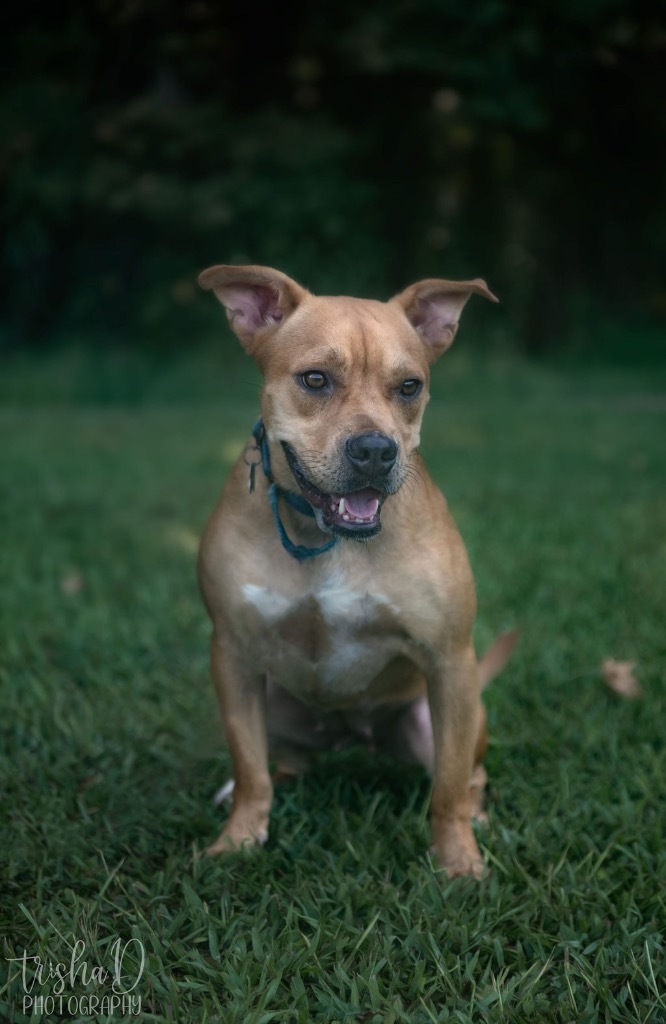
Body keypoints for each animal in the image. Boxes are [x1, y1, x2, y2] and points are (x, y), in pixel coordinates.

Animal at [195, 266, 508, 880]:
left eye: (409, 387)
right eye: (315, 379)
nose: (374, 450)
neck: (330, 539)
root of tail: (352, 739)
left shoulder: (449, 658)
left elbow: (448, 787)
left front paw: (457, 861)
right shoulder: (233, 655)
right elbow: (250, 767)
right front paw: (237, 841)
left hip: (440, 714)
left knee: (467, 775)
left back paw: (479, 817)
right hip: (272, 698)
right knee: (281, 763)